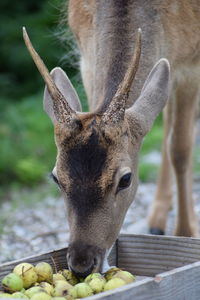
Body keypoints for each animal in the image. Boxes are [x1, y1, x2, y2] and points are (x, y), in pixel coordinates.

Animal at [22, 0, 199, 276]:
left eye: (126, 179)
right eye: (56, 178)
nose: (82, 264)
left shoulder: (191, 63)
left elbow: (180, 148)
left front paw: (185, 234)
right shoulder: (85, 55)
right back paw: (157, 219)